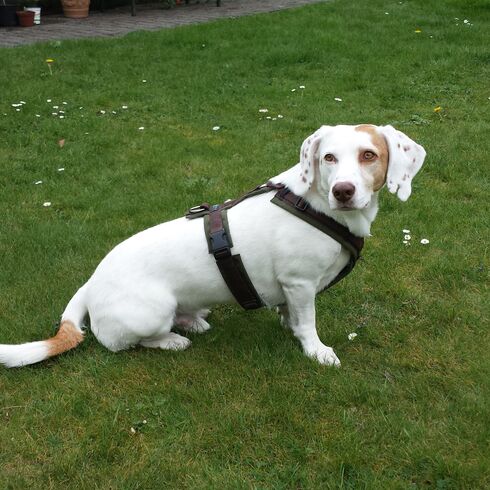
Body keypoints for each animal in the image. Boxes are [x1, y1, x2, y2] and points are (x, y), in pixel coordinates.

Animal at [0, 124, 426, 368]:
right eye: (329, 158)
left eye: (369, 155)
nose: (343, 191)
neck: (313, 204)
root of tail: (90, 285)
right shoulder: (301, 283)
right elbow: (307, 323)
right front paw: (315, 350)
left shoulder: (292, 290)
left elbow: (289, 315)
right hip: (151, 312)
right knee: (121, 343)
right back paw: (172, 340)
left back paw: (192, 321)